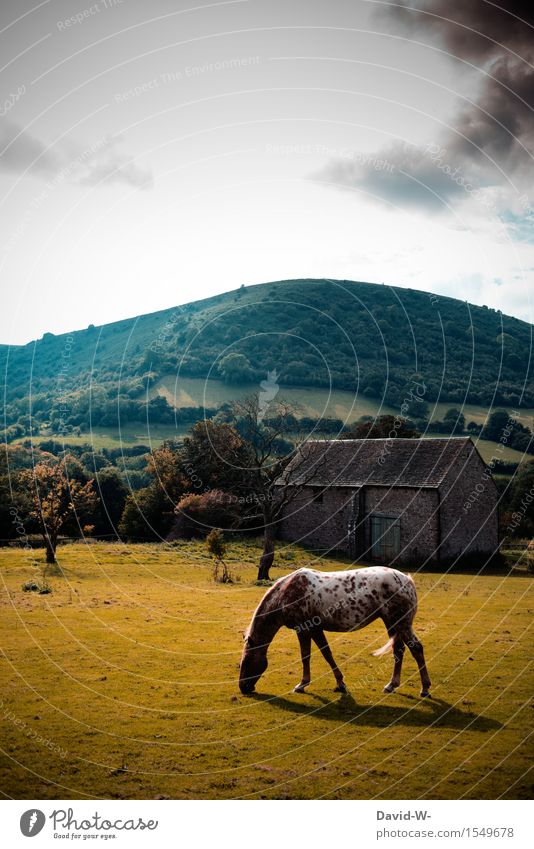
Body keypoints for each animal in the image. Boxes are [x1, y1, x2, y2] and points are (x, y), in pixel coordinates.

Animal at [241, 568, 434, 700]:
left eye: (246, 661)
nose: (243, 688)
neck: (287, 593)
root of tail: (407, 580)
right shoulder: (309, 630)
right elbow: (316, 654)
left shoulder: (307, 628)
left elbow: (318, 654)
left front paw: (307, 684)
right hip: (393, 624)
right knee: (399, 650)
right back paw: (391, 685)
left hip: (401, 623)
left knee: (416, 649)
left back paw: (424, 688)